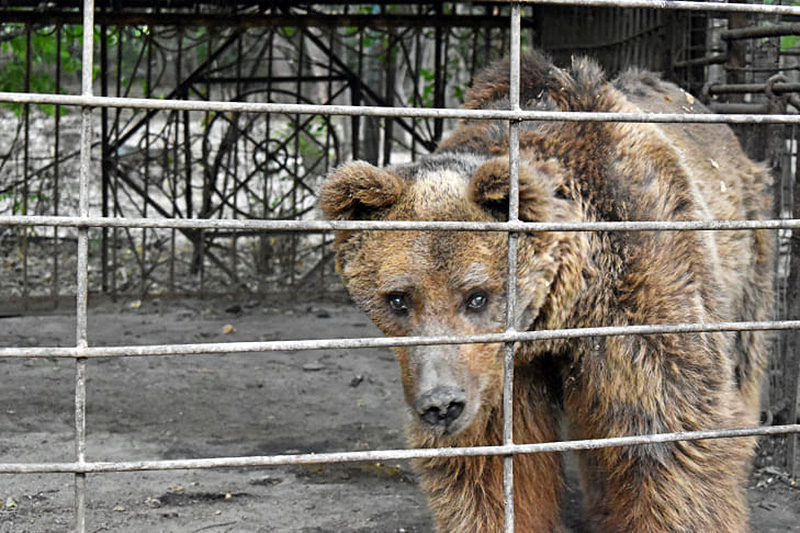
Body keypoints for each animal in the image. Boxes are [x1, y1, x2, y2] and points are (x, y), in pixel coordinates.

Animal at [319, 50, 774, 532]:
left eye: (477, 296)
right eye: (399, 299)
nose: (442, 404)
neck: (560, 311)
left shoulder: (641, 286)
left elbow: (669, 435)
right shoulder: (496, 372)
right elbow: (491, 468)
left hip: (748, 256)